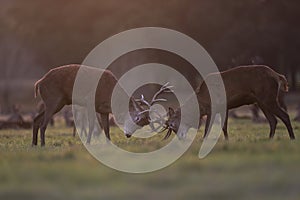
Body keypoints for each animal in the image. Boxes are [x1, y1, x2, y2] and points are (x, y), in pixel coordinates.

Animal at [34, 65, 169, 146]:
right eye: (137, 118)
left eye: (141, 126)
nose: (128, 135)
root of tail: (39, 83)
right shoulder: (89, 101)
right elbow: (92, 125)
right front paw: (88, 143)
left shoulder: (103, 110)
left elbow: (106, 128)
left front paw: (109, 144)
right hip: (53, 100)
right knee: (43, 124)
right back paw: (43, 144)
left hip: (56, 102)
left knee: (36, 119)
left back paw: (34, 144)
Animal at [164, 65, 296, 141]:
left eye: (172, 124)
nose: (180, 139)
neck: (201, 105)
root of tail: (278, 76)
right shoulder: (224, 107)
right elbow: (224, 126)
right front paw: (227, 141)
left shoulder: (213, 107)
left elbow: (207, 127)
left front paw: (203, 140)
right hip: (261, 101)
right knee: (273, 120)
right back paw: (269, 139)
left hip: (268, 97)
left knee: (285, 115)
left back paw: (292, 138)